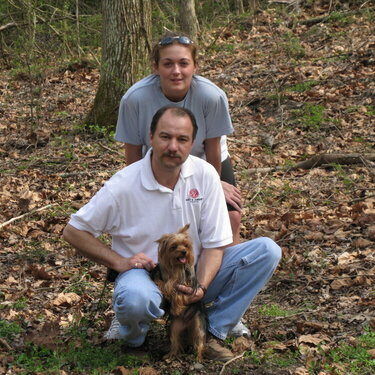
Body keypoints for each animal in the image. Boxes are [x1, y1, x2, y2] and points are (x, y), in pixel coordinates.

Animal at [154, 225, 207, 362]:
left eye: (186, 245)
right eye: (174, 247)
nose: (184, 251)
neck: (177, 268)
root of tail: (186, 325)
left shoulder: (187, 286)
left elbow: (178, 293)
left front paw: (177, 306)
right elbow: (164, 284)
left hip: (198, 325)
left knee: (199, 341)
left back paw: (199, 357)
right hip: (174, 328)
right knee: (175, 343)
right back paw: (169, 357)